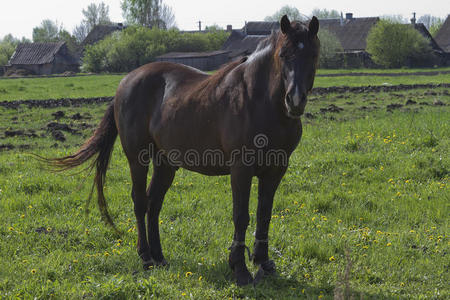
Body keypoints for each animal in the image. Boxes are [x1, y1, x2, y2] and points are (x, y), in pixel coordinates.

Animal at [46, 14, 320, 286]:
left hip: (165, 163)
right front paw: (240, 269)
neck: (258, 100)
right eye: (283, 54)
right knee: (140, 201)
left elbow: (265, 214)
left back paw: (159, 256)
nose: (295, 101)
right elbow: (241, 215)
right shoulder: (241, 169)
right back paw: (146, 257)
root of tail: (126, 82)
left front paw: (263, 263)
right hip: (137, 158)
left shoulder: (276, 169)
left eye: (313, 55)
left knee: (154, 203)